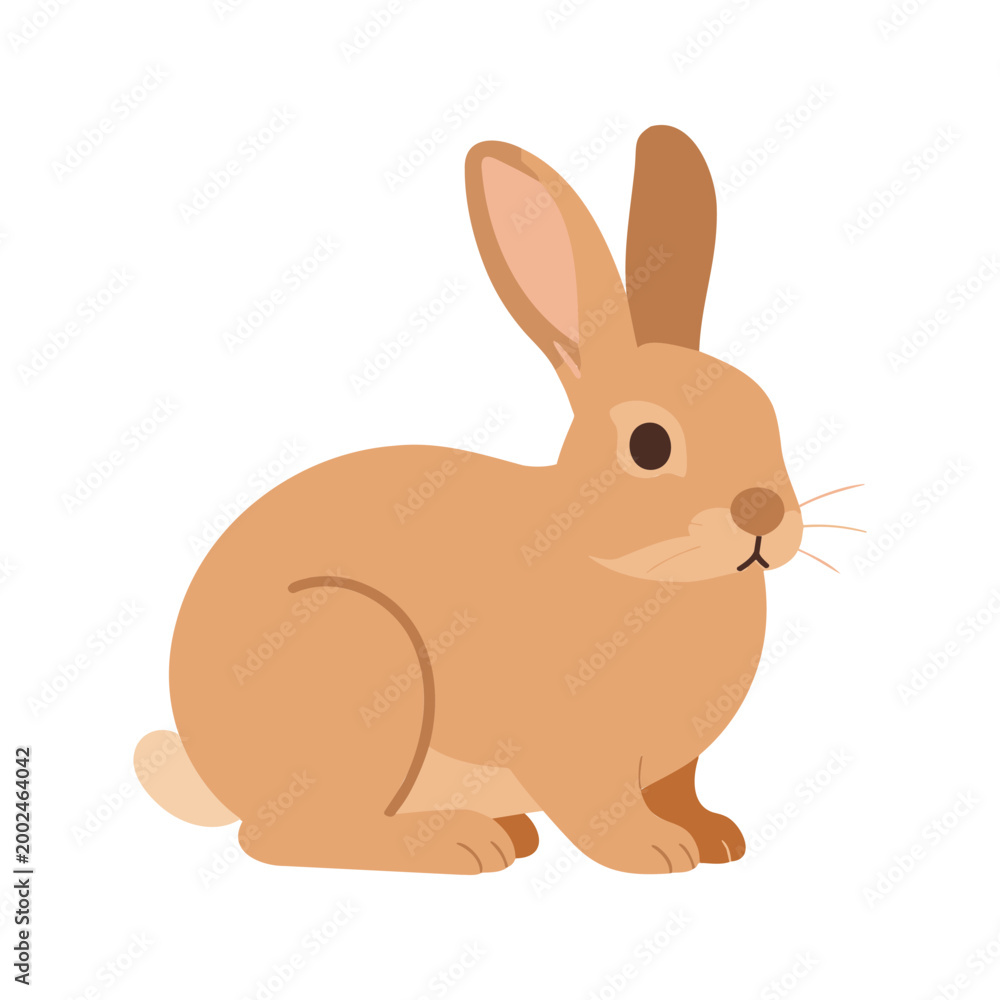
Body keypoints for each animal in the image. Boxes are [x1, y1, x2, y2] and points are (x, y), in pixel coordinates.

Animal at [134, 125, 804, 875]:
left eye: (767, 410)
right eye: (649, 444)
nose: (762, 513)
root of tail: (203, 757)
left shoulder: (671, 768)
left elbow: (678, 791)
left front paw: (717, 837)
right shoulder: (571, 750)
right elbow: (600, 808)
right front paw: (658, 850)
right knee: (282, 836)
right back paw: (463, 843)